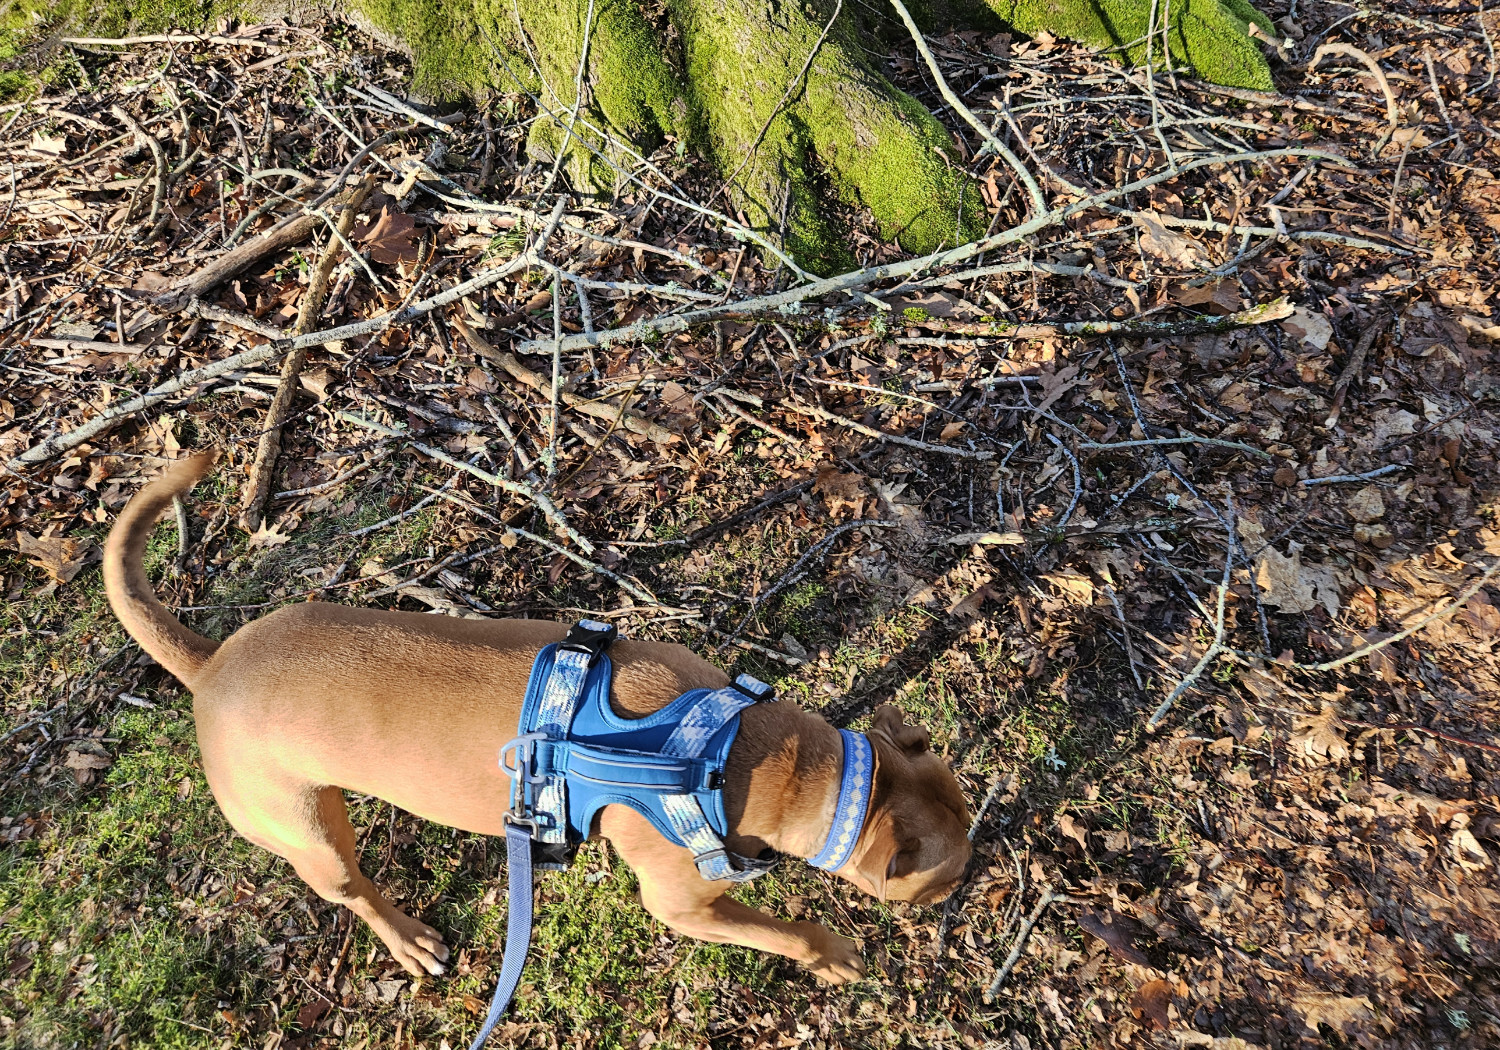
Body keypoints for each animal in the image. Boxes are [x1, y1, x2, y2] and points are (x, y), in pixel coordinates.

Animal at [105, 450, 972, 984]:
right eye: (945, 876)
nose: (965, 894)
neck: (729, 746)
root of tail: (211, 665)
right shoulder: (682, 903)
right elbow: (781, 929)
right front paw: (832, 954)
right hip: (309, 833)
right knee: (354, 892)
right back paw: (409, 940)